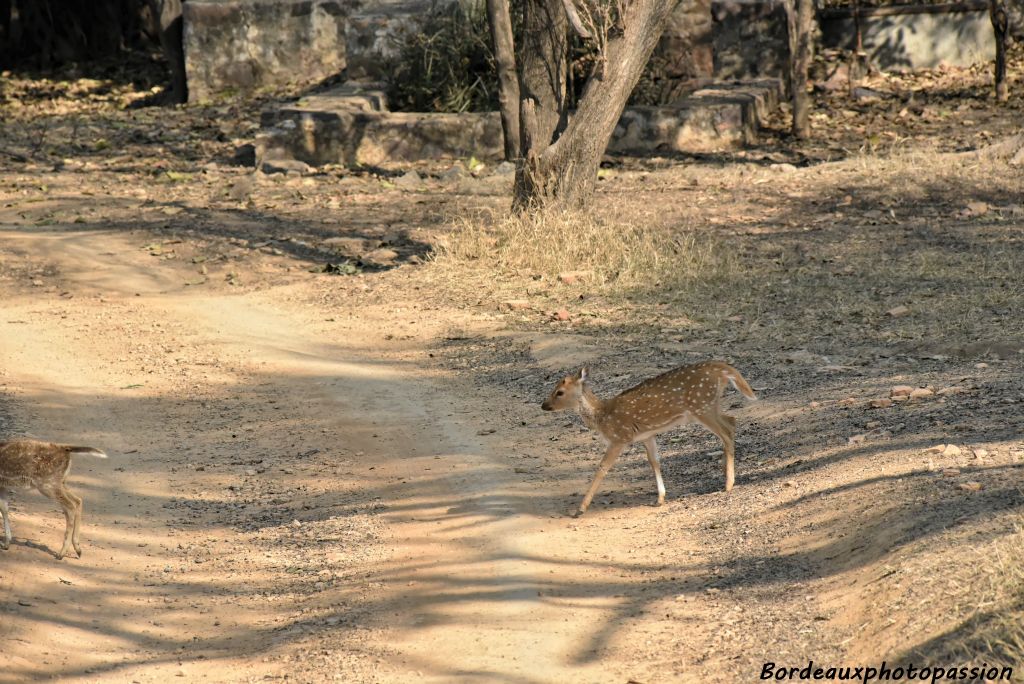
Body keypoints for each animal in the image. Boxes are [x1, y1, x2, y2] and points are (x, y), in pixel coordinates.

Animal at [540, 360, 757, 516]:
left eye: (559, 392)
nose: (543, 405)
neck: (602, 416)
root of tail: (722, 369)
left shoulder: (619, 437)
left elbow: (602, 467)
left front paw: (580, 508)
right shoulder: (647, 435)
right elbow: (654, 461)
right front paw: (660, 498)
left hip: (702, 406)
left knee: (726, 431)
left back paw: (728, 484)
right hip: (710, 405)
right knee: (732, 421)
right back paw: (724, 471)